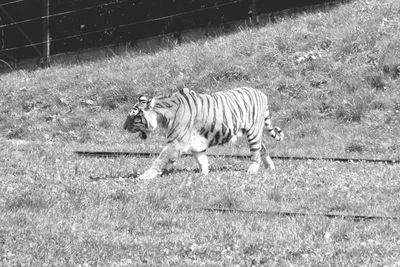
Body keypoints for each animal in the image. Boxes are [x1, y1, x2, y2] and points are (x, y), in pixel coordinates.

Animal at [123, 87, 282, 181]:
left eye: (133, 117)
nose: (124, 127)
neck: (163, 115)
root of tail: (261, 92)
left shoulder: (175, 143)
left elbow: (160, 160)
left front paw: (145, 176)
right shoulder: (196, 143)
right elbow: (202, 160)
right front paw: (203, 175)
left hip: (253, 131)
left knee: (256, 152)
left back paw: (252, 170)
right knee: (262, 147)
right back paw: (270, 167)